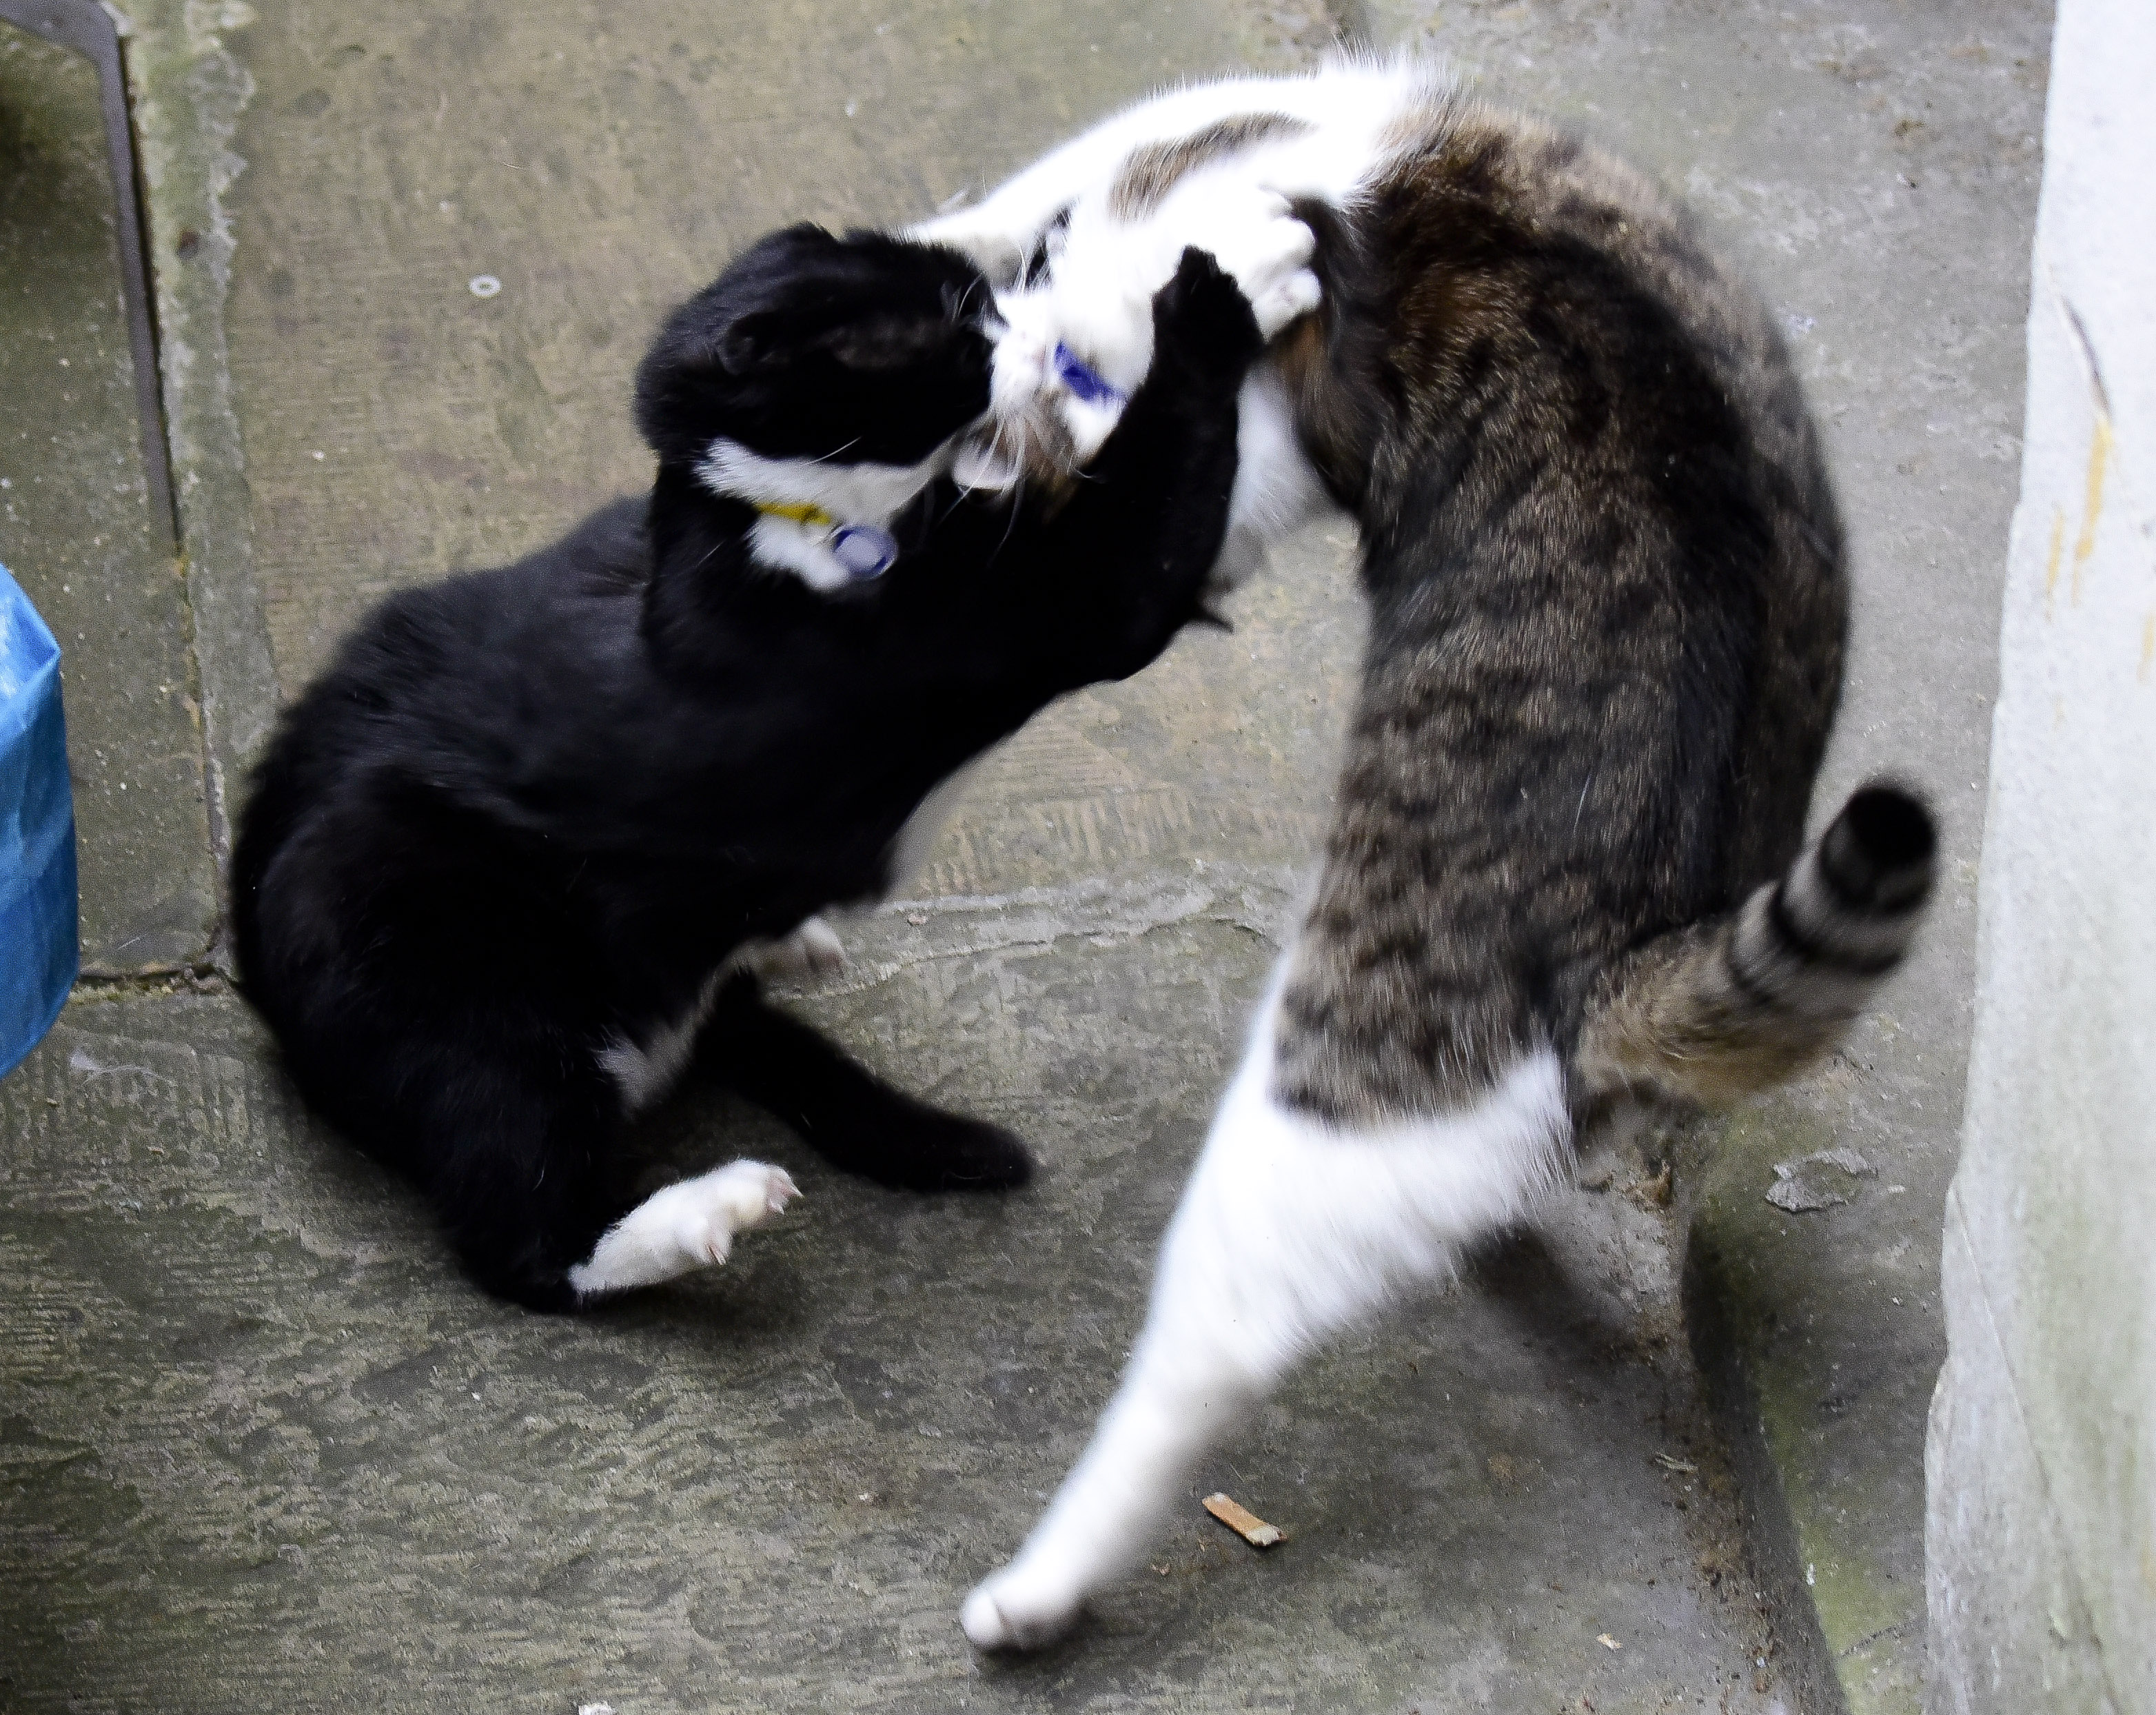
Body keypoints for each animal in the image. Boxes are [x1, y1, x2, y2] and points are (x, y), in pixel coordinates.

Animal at [922, 60, 1940, 1656]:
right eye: (1051, 360)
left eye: (1082, 386)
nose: (1016, 387)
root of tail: (1635, 956)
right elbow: (1070, 167)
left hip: (1328, 1096)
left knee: (1205, 1352)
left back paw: (1037, 1587)